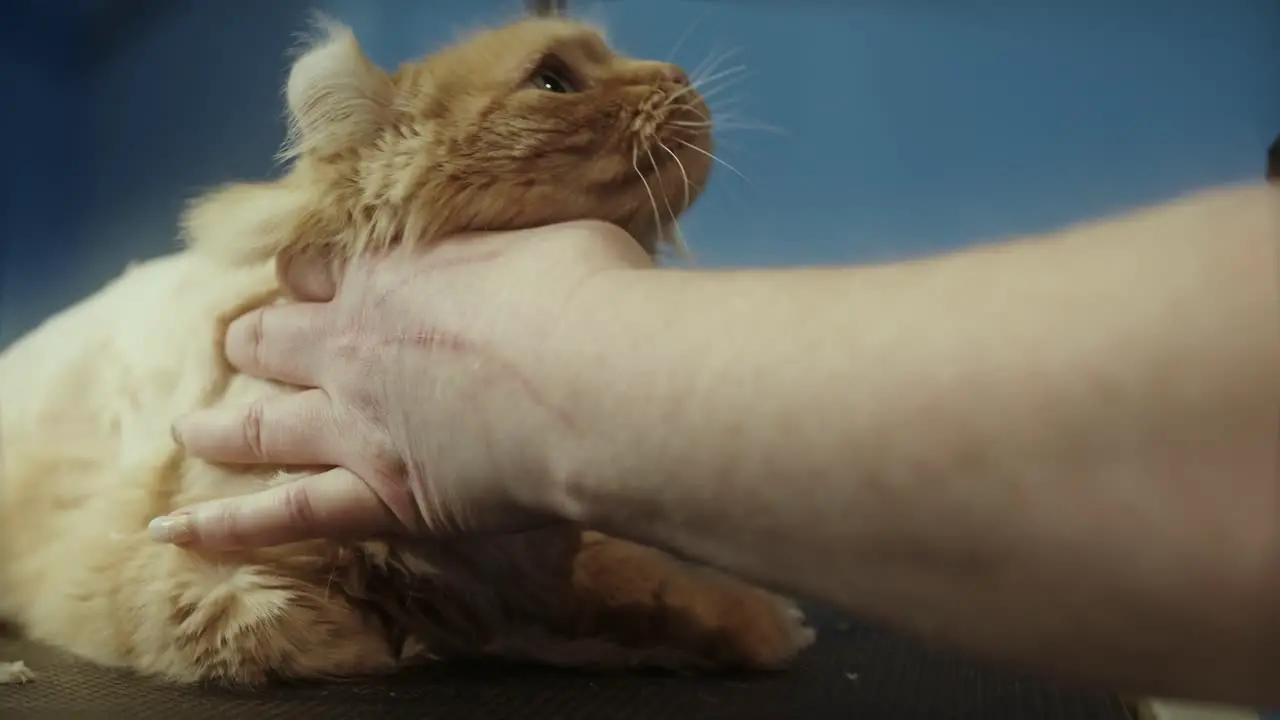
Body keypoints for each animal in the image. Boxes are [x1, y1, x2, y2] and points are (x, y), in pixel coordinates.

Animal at [0, 16, 814, 681]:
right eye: (553, 79)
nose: (677, 76)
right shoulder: (189, 581)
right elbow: (332, 629)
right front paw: (414, 639)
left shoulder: (541, 562)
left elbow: (643, 577)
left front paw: (755, 622)